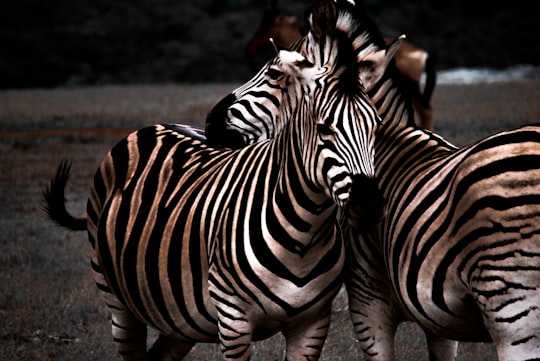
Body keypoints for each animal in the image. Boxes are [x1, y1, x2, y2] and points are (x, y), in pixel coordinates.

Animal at [41, 2, 388, 358]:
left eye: (376, 125)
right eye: (323, 128)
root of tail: (155, 126)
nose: (369, 205)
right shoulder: (233, 322)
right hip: (117, 301)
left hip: (179, 319)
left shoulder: (313, 324)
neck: (304, 234)